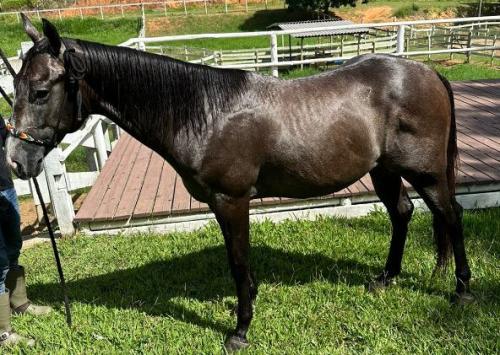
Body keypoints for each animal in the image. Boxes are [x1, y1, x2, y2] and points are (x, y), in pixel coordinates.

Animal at [4, 14, 472, 354]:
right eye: (16, 86)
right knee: (402, 214)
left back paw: (462, 291)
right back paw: (386, 279)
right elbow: (239, 261)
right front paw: (249, 302)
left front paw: (240, 329)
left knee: (450, 214)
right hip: (383, 170)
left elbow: (238, 260)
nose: (16, 160)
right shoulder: (220, 205)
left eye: (41, 91)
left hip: (427, 174)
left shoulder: (232, 200)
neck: (204, 113)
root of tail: (427, 72)